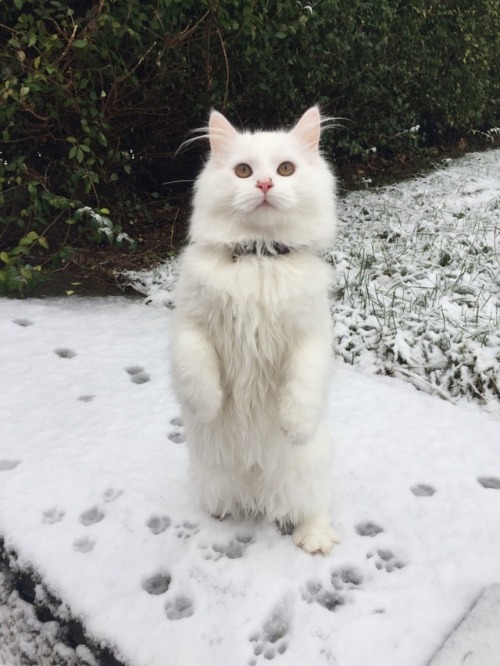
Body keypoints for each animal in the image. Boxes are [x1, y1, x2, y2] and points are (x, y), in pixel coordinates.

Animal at [172, 106, 340, 552]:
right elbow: (198, 374)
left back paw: (315, 540)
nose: (264, 184)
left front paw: (293, 425)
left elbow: (302, 388)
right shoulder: (189, 326)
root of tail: (256, 487)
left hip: (308, 474)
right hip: (212, 477)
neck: (259, 256)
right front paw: (210, 408)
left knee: (313, 509)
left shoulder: (310, 336)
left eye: (285, 169)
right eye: (243, 171)